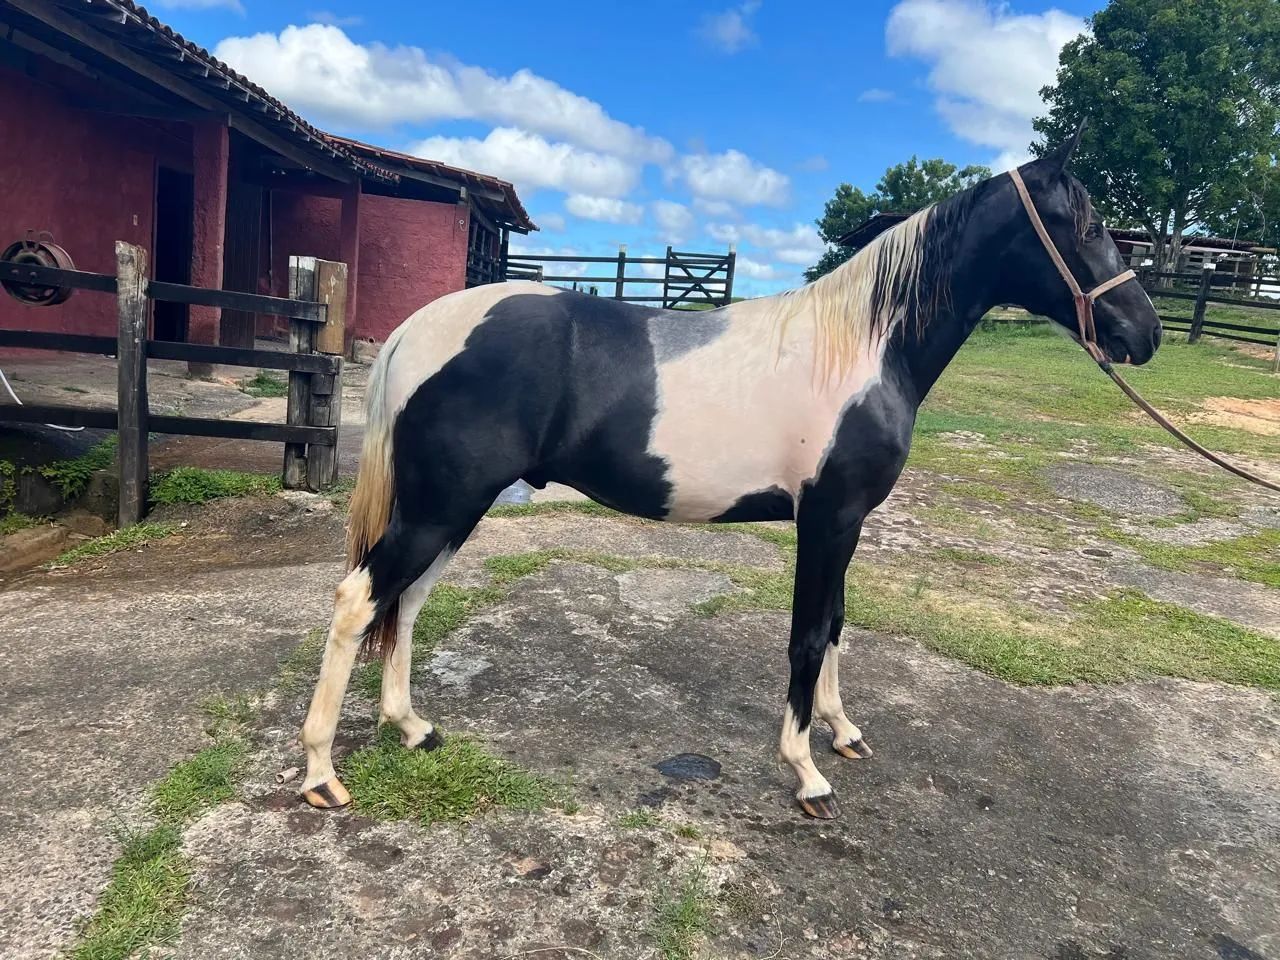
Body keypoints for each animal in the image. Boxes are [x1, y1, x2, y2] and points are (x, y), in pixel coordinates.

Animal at [297, 132, 1162, 819]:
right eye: (1086, 225)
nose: (1143, 333)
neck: (862, 347)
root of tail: (417, 330)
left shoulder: (846, 524)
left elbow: (837, 622)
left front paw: (842, 732)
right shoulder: (828, 519)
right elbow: (808, 634)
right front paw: (806, 772)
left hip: (450, 510)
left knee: (405, 603)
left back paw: (413, 728)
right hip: (440, 507)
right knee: (358, 600)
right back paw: (320, 774)